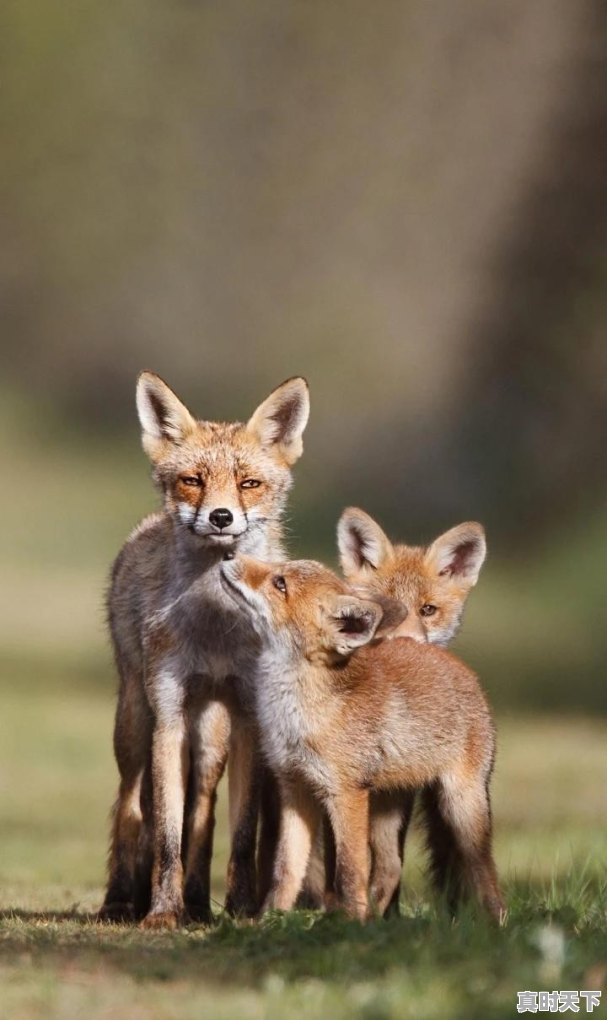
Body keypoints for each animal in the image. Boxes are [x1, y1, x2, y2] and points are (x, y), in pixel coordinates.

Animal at [100, 371, 310, 930]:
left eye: (248, 484)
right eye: (192, 480)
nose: (220, 517)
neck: (217, 628)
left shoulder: (249, 718)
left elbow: (238, 834)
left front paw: (237, 909)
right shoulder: (169, 716)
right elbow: (166, 835)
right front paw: (161, 912)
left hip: (213, 736)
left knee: (203, 811)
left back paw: (197, 902)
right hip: (135, 723)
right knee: (130, 805)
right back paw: (120, 900)